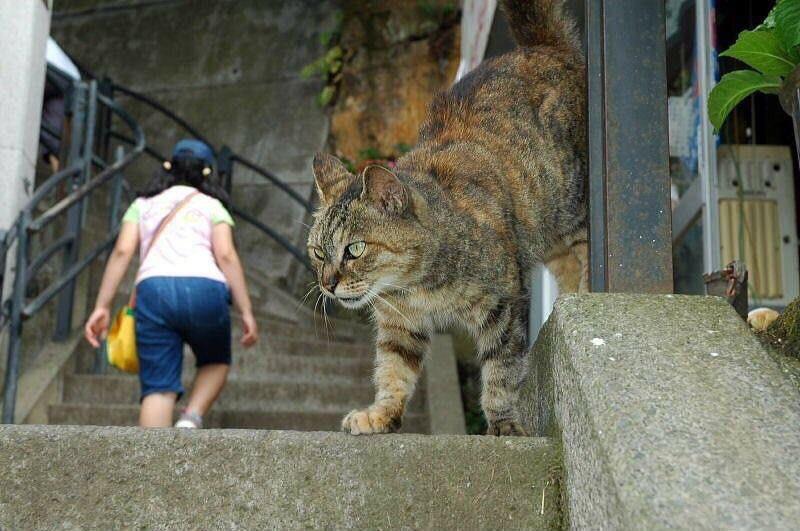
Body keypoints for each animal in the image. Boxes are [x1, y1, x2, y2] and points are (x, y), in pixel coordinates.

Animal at [306, 0, 588, 436]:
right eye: (319, 253)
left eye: (354, 249)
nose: (328, 284)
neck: (415, 287)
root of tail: (542, 47)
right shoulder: (399, 325)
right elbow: (392, 372)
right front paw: (380, 415)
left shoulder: (505, 305)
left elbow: (501, 371)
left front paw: (502, 422)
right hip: (547, 234)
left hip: (572, 206)